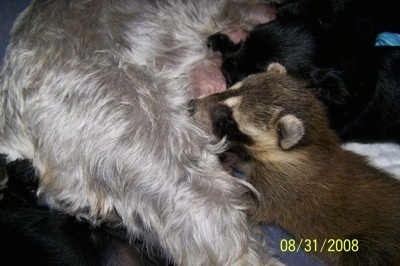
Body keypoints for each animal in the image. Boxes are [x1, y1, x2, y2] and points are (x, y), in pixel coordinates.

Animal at [189, 63, 400, 264]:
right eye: (232, 87)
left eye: (228, 119)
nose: (191, 105)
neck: (307, 146)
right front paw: (235, 158)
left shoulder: (283, 185)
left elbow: (256, 205)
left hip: (371, 245)